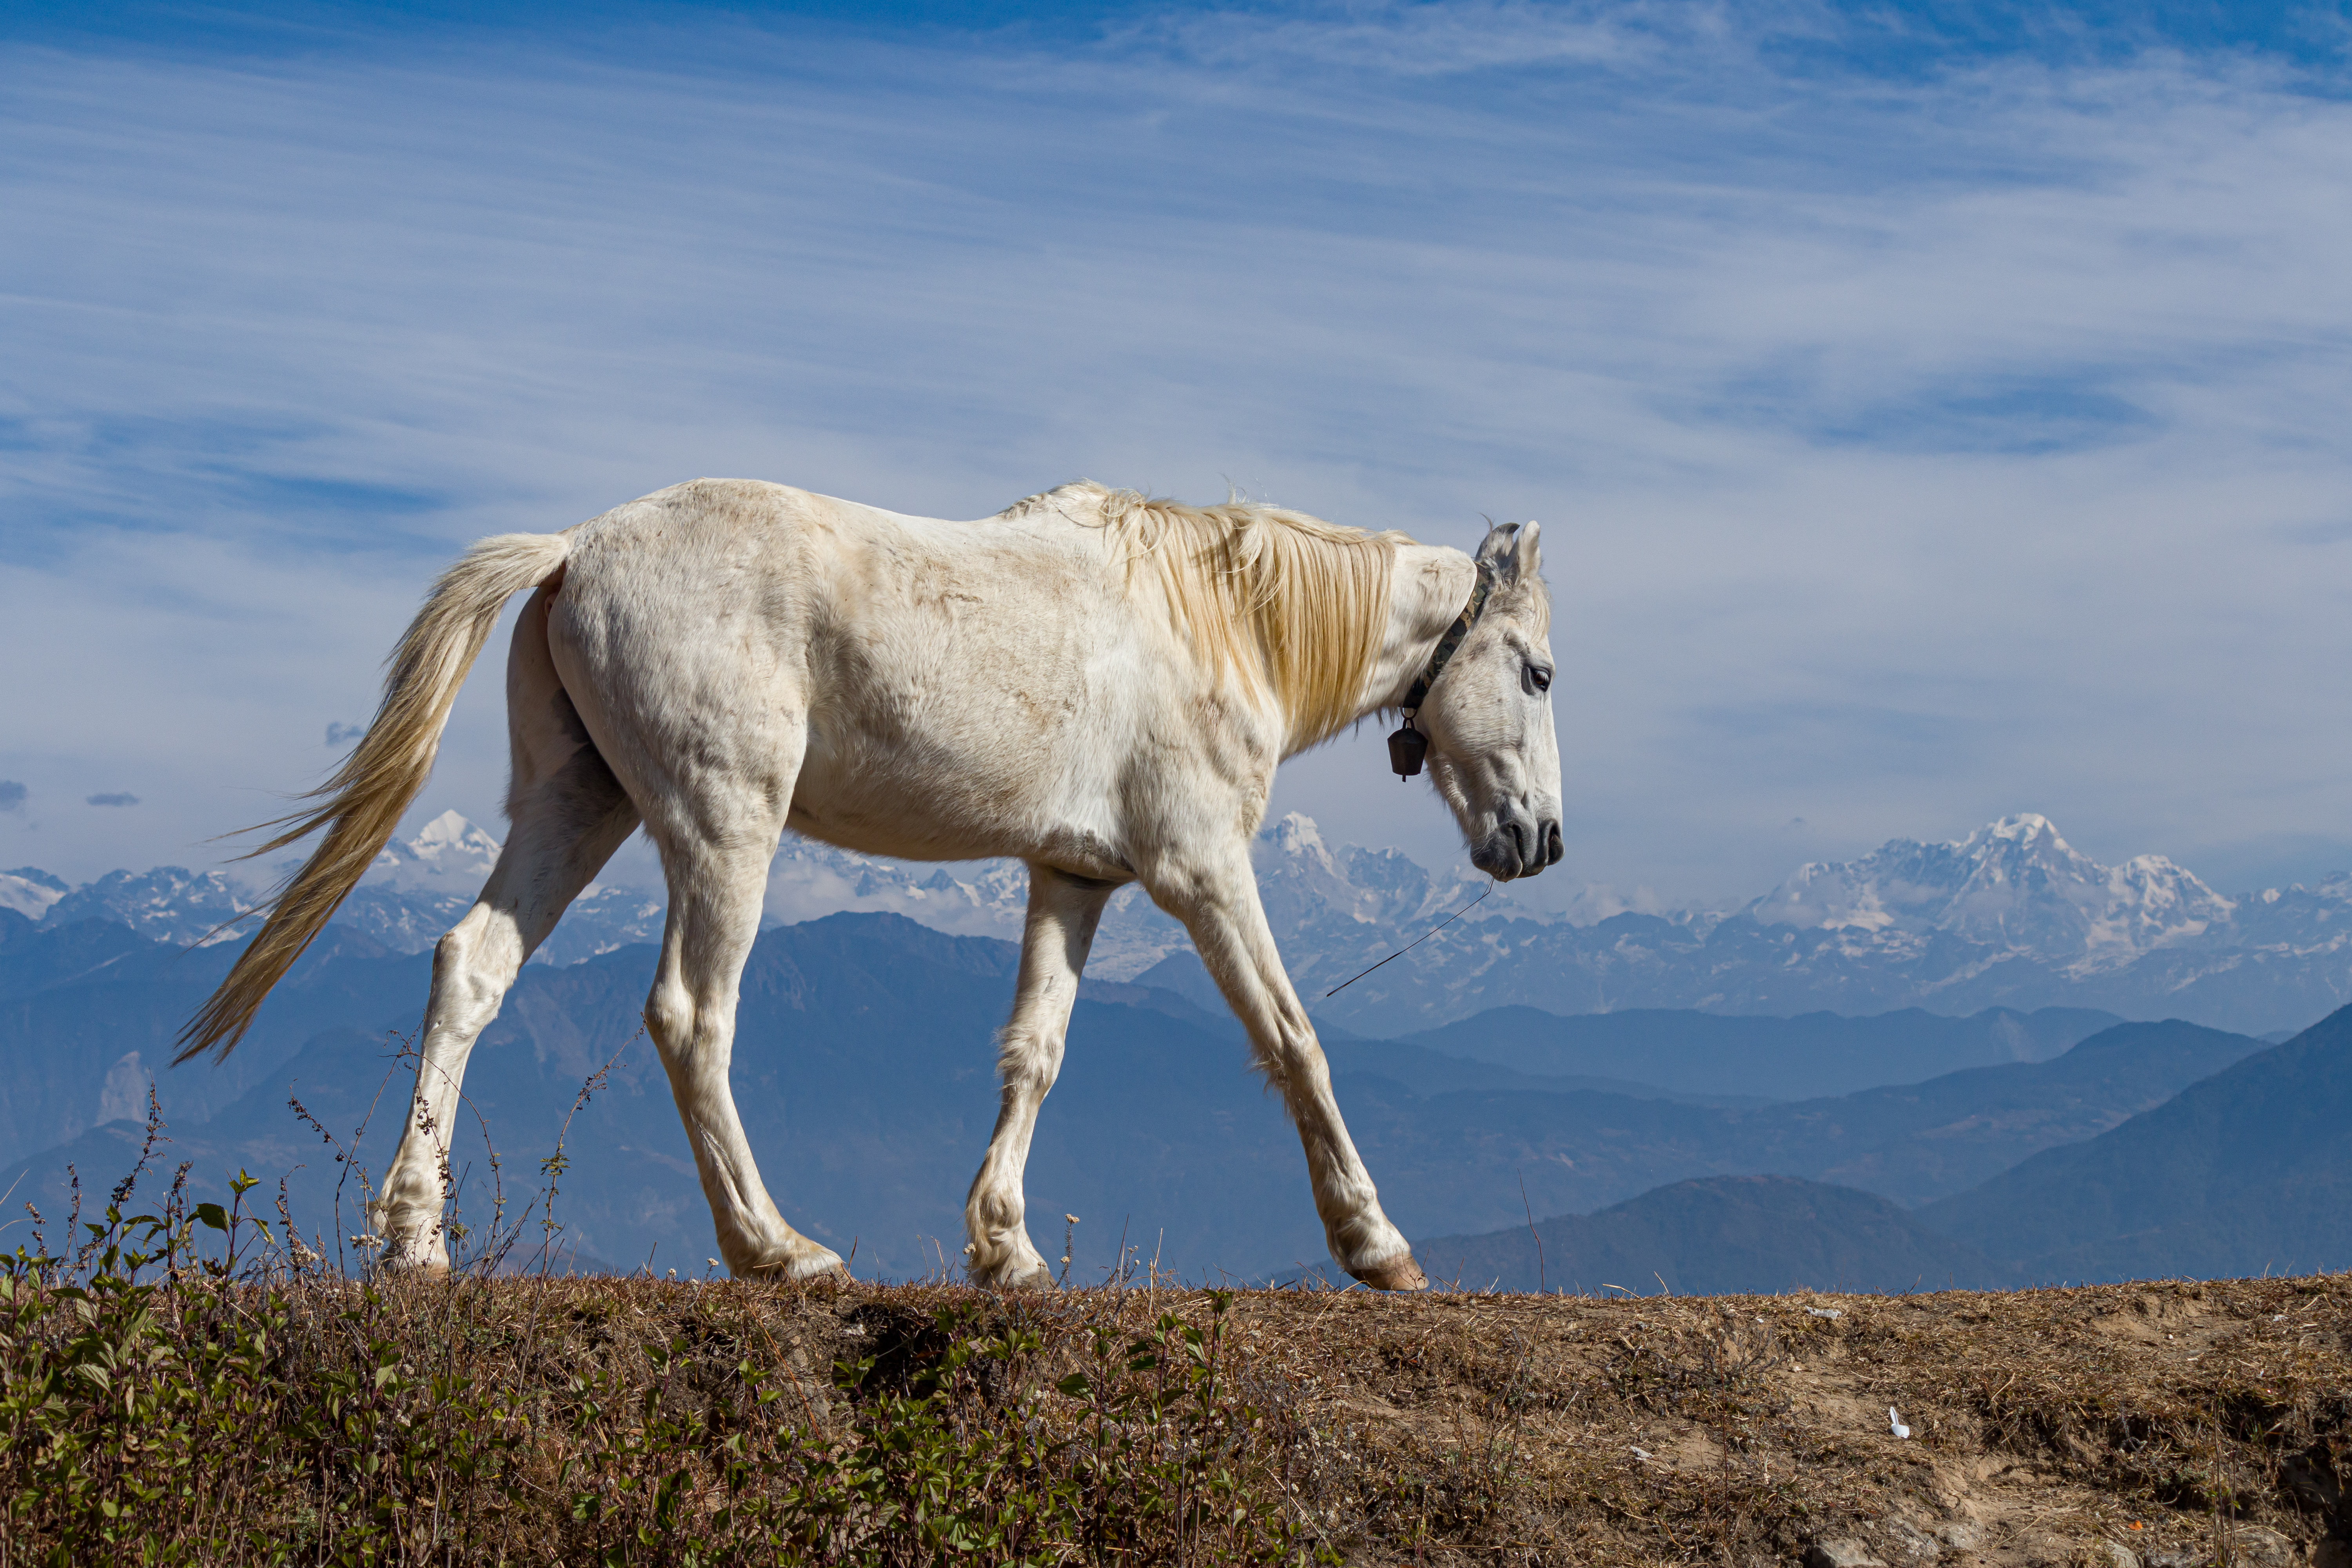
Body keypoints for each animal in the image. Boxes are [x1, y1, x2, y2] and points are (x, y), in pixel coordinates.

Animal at [174, 479, 1552, 1288]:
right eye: (1537, 673)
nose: (1536, 839)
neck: (1218, 617)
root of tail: (573, 552)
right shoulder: (1201, 868)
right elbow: (1292, 1037)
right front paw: (1375, 1243)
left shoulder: (1073, 876)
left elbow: (1035, 1053)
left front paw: (1004, 1246)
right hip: (724, 826)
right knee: (691, 1016)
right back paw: (775, 1249)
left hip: (579, 805)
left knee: (471, 969)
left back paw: (416, 1237)